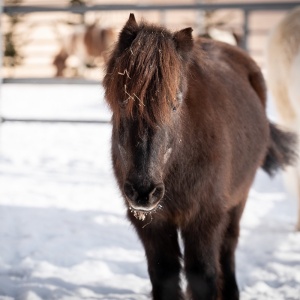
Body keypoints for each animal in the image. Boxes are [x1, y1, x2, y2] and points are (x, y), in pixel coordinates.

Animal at [102, 14, 296, 300]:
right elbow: (165, 276)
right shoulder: (153, 226)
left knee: (228, 247)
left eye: (175, 104)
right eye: (122, 101)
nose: (143, 191)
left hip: (238, 200)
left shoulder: (205, 219)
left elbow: (203, 275)